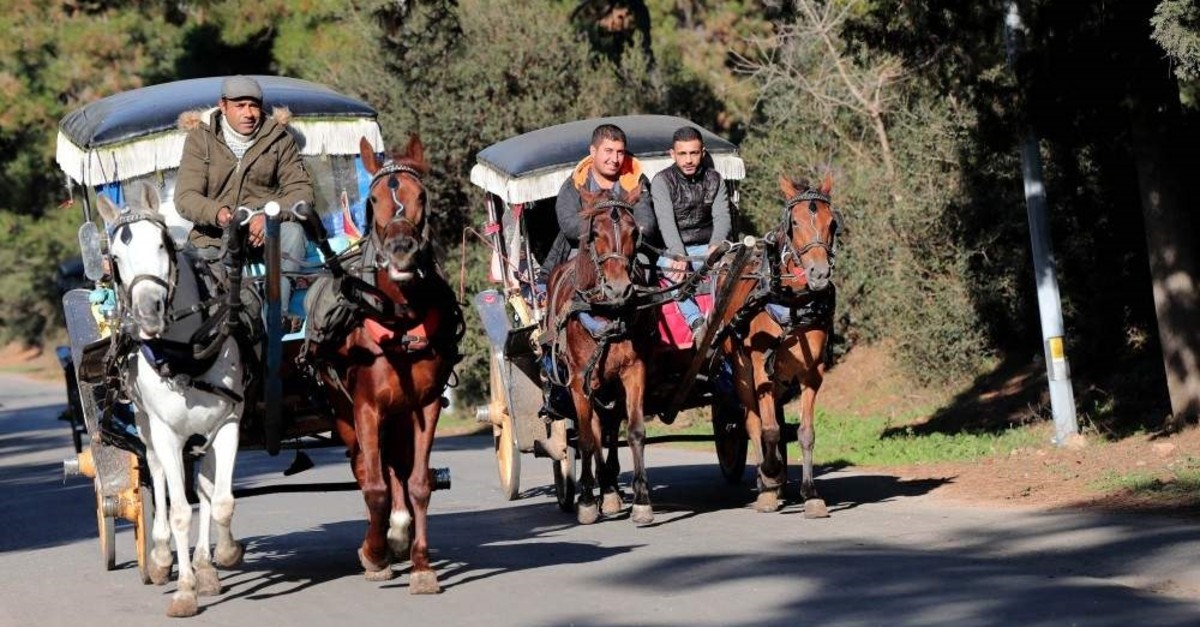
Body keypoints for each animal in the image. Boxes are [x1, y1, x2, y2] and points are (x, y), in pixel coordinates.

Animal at [96, 180, 245, 617]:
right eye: (114, 258)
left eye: (163, 244)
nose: (148, 313)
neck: (183, 354)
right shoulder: (165, 433)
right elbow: (179, 509)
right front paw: (184, 591)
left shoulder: (228, 422)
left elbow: (221, 499)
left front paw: (223, 556)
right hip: (146, 425)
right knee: (159, 473)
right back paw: (162, 557)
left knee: (207, 487)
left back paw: (205, 566)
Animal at [308, 135, 462, 592]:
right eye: (373, 199)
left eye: (421, 196)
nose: (401, 253)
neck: (400, 320)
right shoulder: (366, 408)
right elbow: (373, 486)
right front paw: (373, 554)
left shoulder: (424, 405)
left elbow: (419, 483)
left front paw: (422, 565)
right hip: (345, 413)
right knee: (364, 467)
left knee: (397, 467)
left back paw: (398, 530)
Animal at [543, 188, 652, 525]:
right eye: (594, 234)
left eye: (635, 232)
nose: (619, 289)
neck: (606, 312)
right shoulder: (579, 380)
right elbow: (587, 440)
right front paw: (588, 501)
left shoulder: (633, 371)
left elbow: (634, 431)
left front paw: (642, 501)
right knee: (589, 432)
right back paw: (597, 490)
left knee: (608, 427)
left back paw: (611, 490)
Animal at [713, 173, 839, 517]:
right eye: (794, 222)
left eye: (832, 222)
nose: (819, 273)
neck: (792, 303)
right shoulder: (760, 371)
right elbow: (767, 429)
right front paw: (770, 476)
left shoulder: (812, 374)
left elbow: (805, 433)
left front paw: (810, 493)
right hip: (743, 374)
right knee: (753, 422)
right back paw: (767, 483)